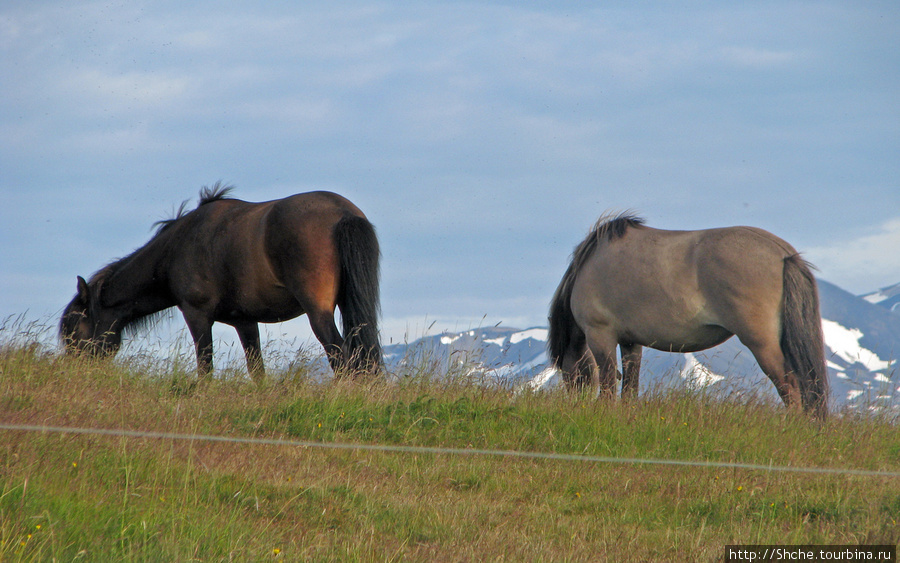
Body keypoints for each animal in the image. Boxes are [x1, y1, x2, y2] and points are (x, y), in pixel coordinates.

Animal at [59, 184, 384, 378]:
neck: (176, 247)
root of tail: (342, 213)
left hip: (319, 313)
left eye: (74, 329)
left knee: (341, 356)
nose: (72, 373)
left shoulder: (196, 314)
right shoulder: (245, 322)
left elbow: (205, 365)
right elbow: (257, 370)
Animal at [544, 214, 828, 416]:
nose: (575, 402)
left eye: (567, 374)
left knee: (790, 385)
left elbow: (607, 383)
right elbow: (630, 386)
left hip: (761, 343)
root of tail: (783, 254)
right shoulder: (630, 342)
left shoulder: (601, 335)